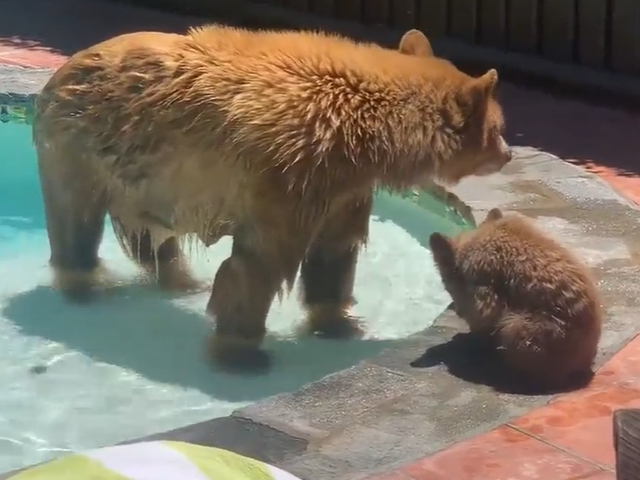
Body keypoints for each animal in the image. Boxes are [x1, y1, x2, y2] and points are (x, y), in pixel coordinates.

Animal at [33, 25, 513, 373]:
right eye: (499, 126)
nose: (509, 153)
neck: (365, 131)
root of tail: (60, 71)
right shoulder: (288, 172)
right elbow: (260, 262)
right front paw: (242, 351)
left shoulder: (341, 185)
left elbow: (334, 250)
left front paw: (338, 323)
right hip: (78, 150)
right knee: (76, 224)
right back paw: (83, 287)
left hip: (140, 177)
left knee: (154, 237)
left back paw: (181, 281)